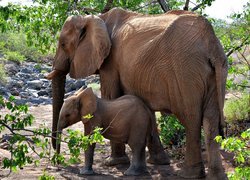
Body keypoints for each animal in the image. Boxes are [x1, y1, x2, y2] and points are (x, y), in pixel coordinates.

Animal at [47, 7, 229, 179]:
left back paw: (188, 174)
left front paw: (113, 163)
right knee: (211, 120)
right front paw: (158, 161)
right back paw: (216, 176)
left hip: (186, 71)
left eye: (63, 44)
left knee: (191, 118)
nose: (57, 164)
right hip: (214, 72)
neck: (96, 18)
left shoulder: (110, 62)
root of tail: (211, 43)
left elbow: (111, 96)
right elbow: (147, 108)